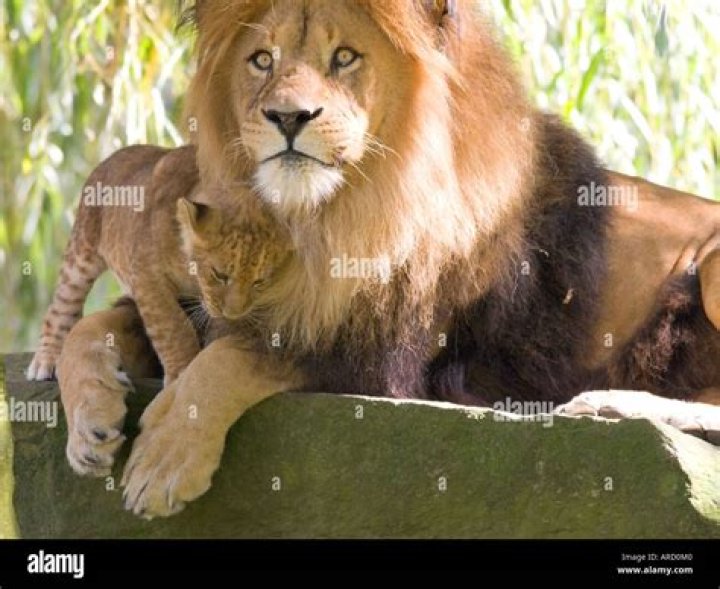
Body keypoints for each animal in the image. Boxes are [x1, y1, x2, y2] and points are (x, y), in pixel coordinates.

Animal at [54, 0, 720, 519]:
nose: (288, 117)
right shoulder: (205, 298)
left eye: (345, 58)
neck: (327, 221)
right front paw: (90, 423)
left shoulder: (387, 358)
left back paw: (608, 401)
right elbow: (95, 327)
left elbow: (234, 357)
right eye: (262, 60)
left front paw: (165, 456)